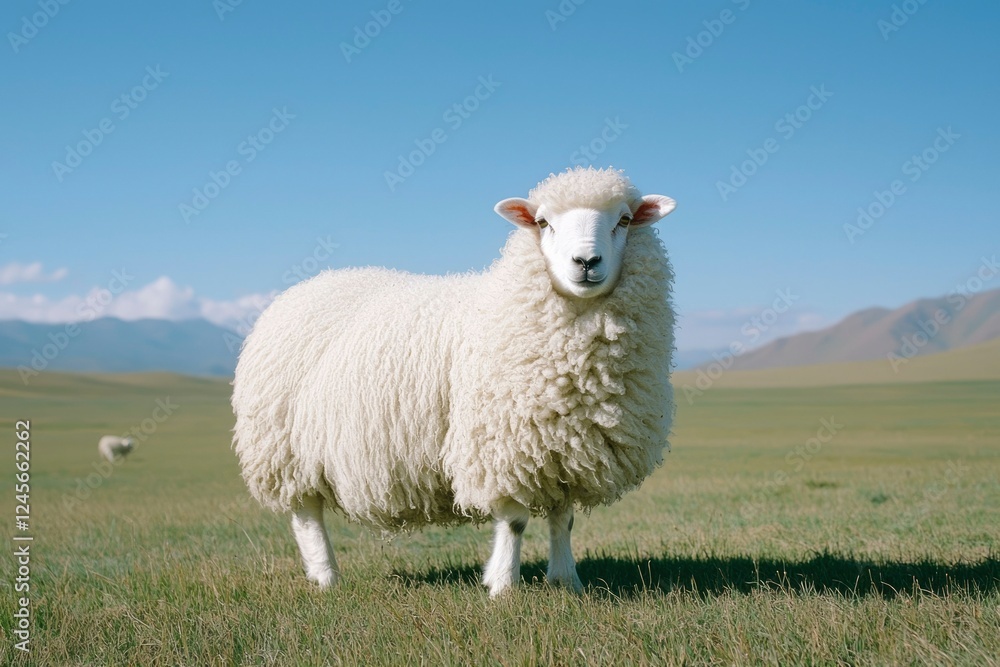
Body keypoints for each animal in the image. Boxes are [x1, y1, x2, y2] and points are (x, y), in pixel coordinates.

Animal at [231, 166, 677, 596]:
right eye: (543, 222)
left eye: (624, 220)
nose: (585, 261)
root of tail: (303, 286)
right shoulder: (502, 445)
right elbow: (514, 521)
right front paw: (503, 586)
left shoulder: (566, 447)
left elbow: (562, 518)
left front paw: (567, 581)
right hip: (285, 448)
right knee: (306, 515)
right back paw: (326, 577)